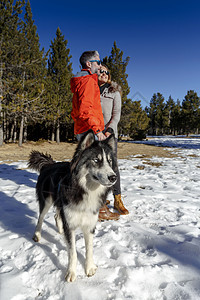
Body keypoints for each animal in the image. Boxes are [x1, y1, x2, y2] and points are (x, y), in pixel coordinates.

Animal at [27, 130, 116, 282]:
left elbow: (89, 248)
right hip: (47, 201)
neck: (84, 190)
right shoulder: (70, 223)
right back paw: (37, 235)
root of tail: (49, 164)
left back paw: (60, 230)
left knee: (57, 215)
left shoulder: (89, 224)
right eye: (96, 160)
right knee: (41, 218)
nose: (113, 177)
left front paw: (89, 268)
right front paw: (71, 273)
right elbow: (72, 251)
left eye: (109, 161)